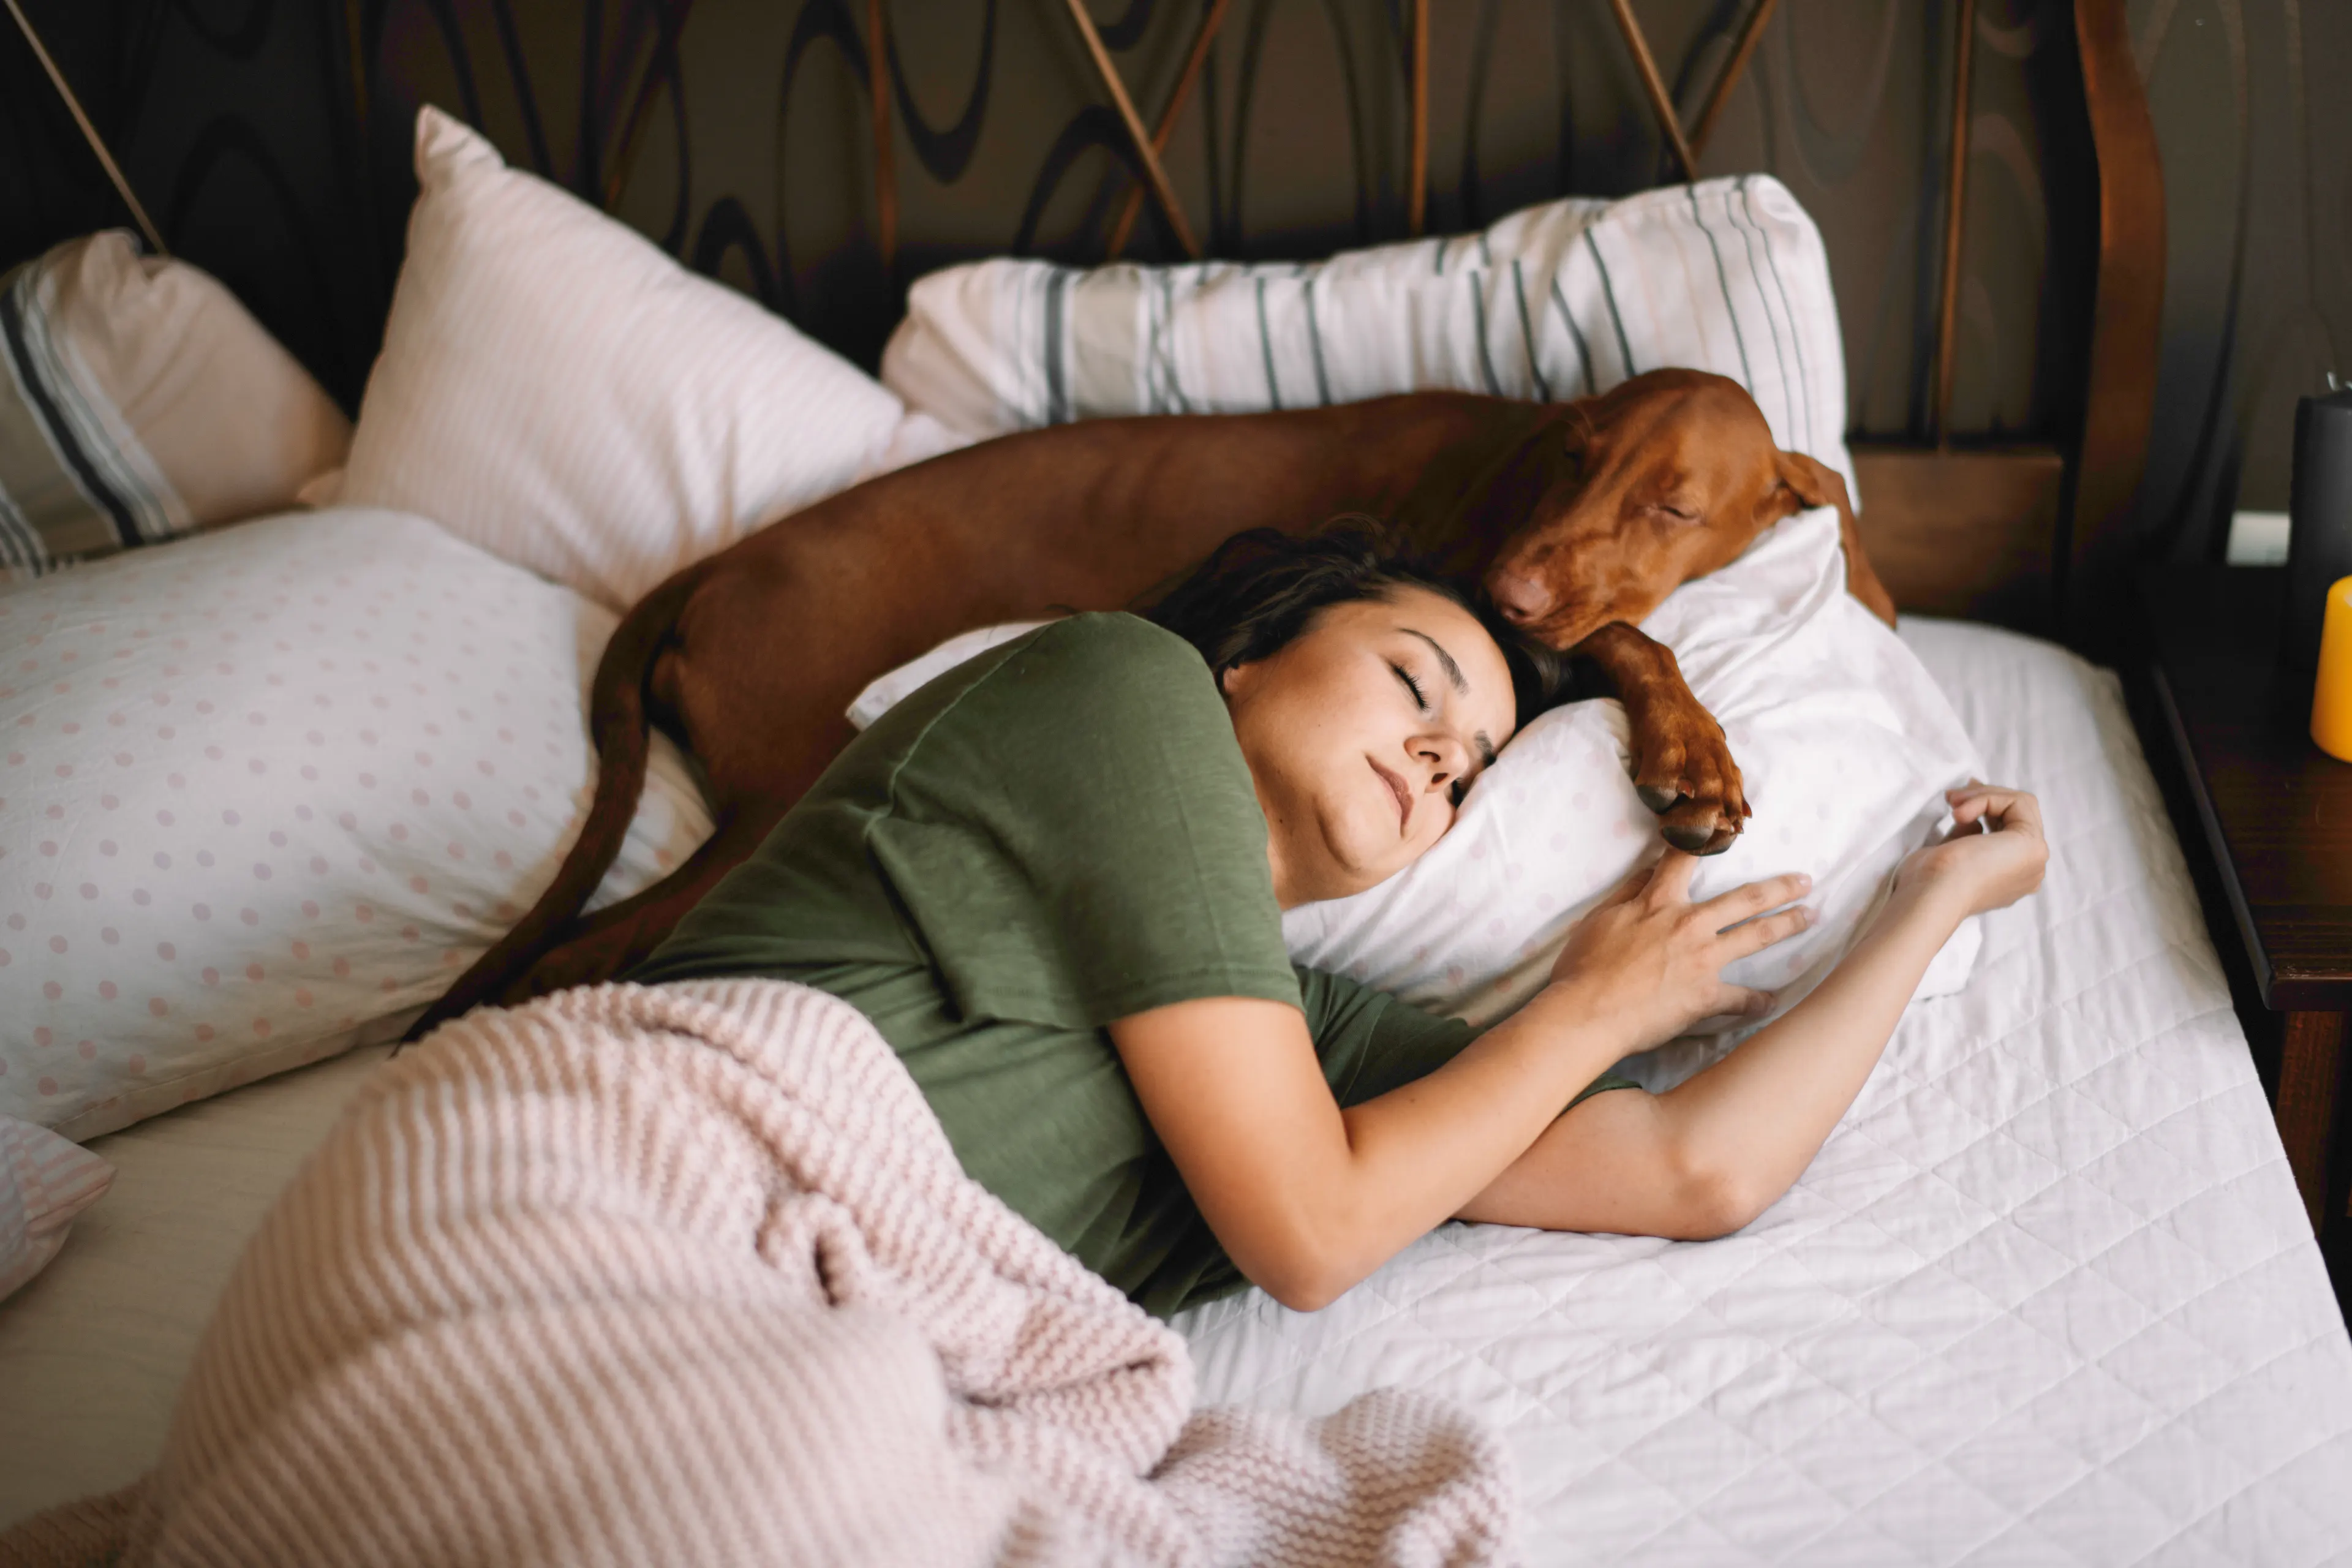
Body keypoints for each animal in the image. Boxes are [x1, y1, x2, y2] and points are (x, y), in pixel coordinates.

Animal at [413, 366, 1900, 1030]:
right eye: (1575, 456)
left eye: (1672, 505)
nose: (1511, 590)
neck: (1507, 466)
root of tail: (722, 561)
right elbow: (1634, 640)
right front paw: (1694, 753)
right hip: (776, 796)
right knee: (581, 949)